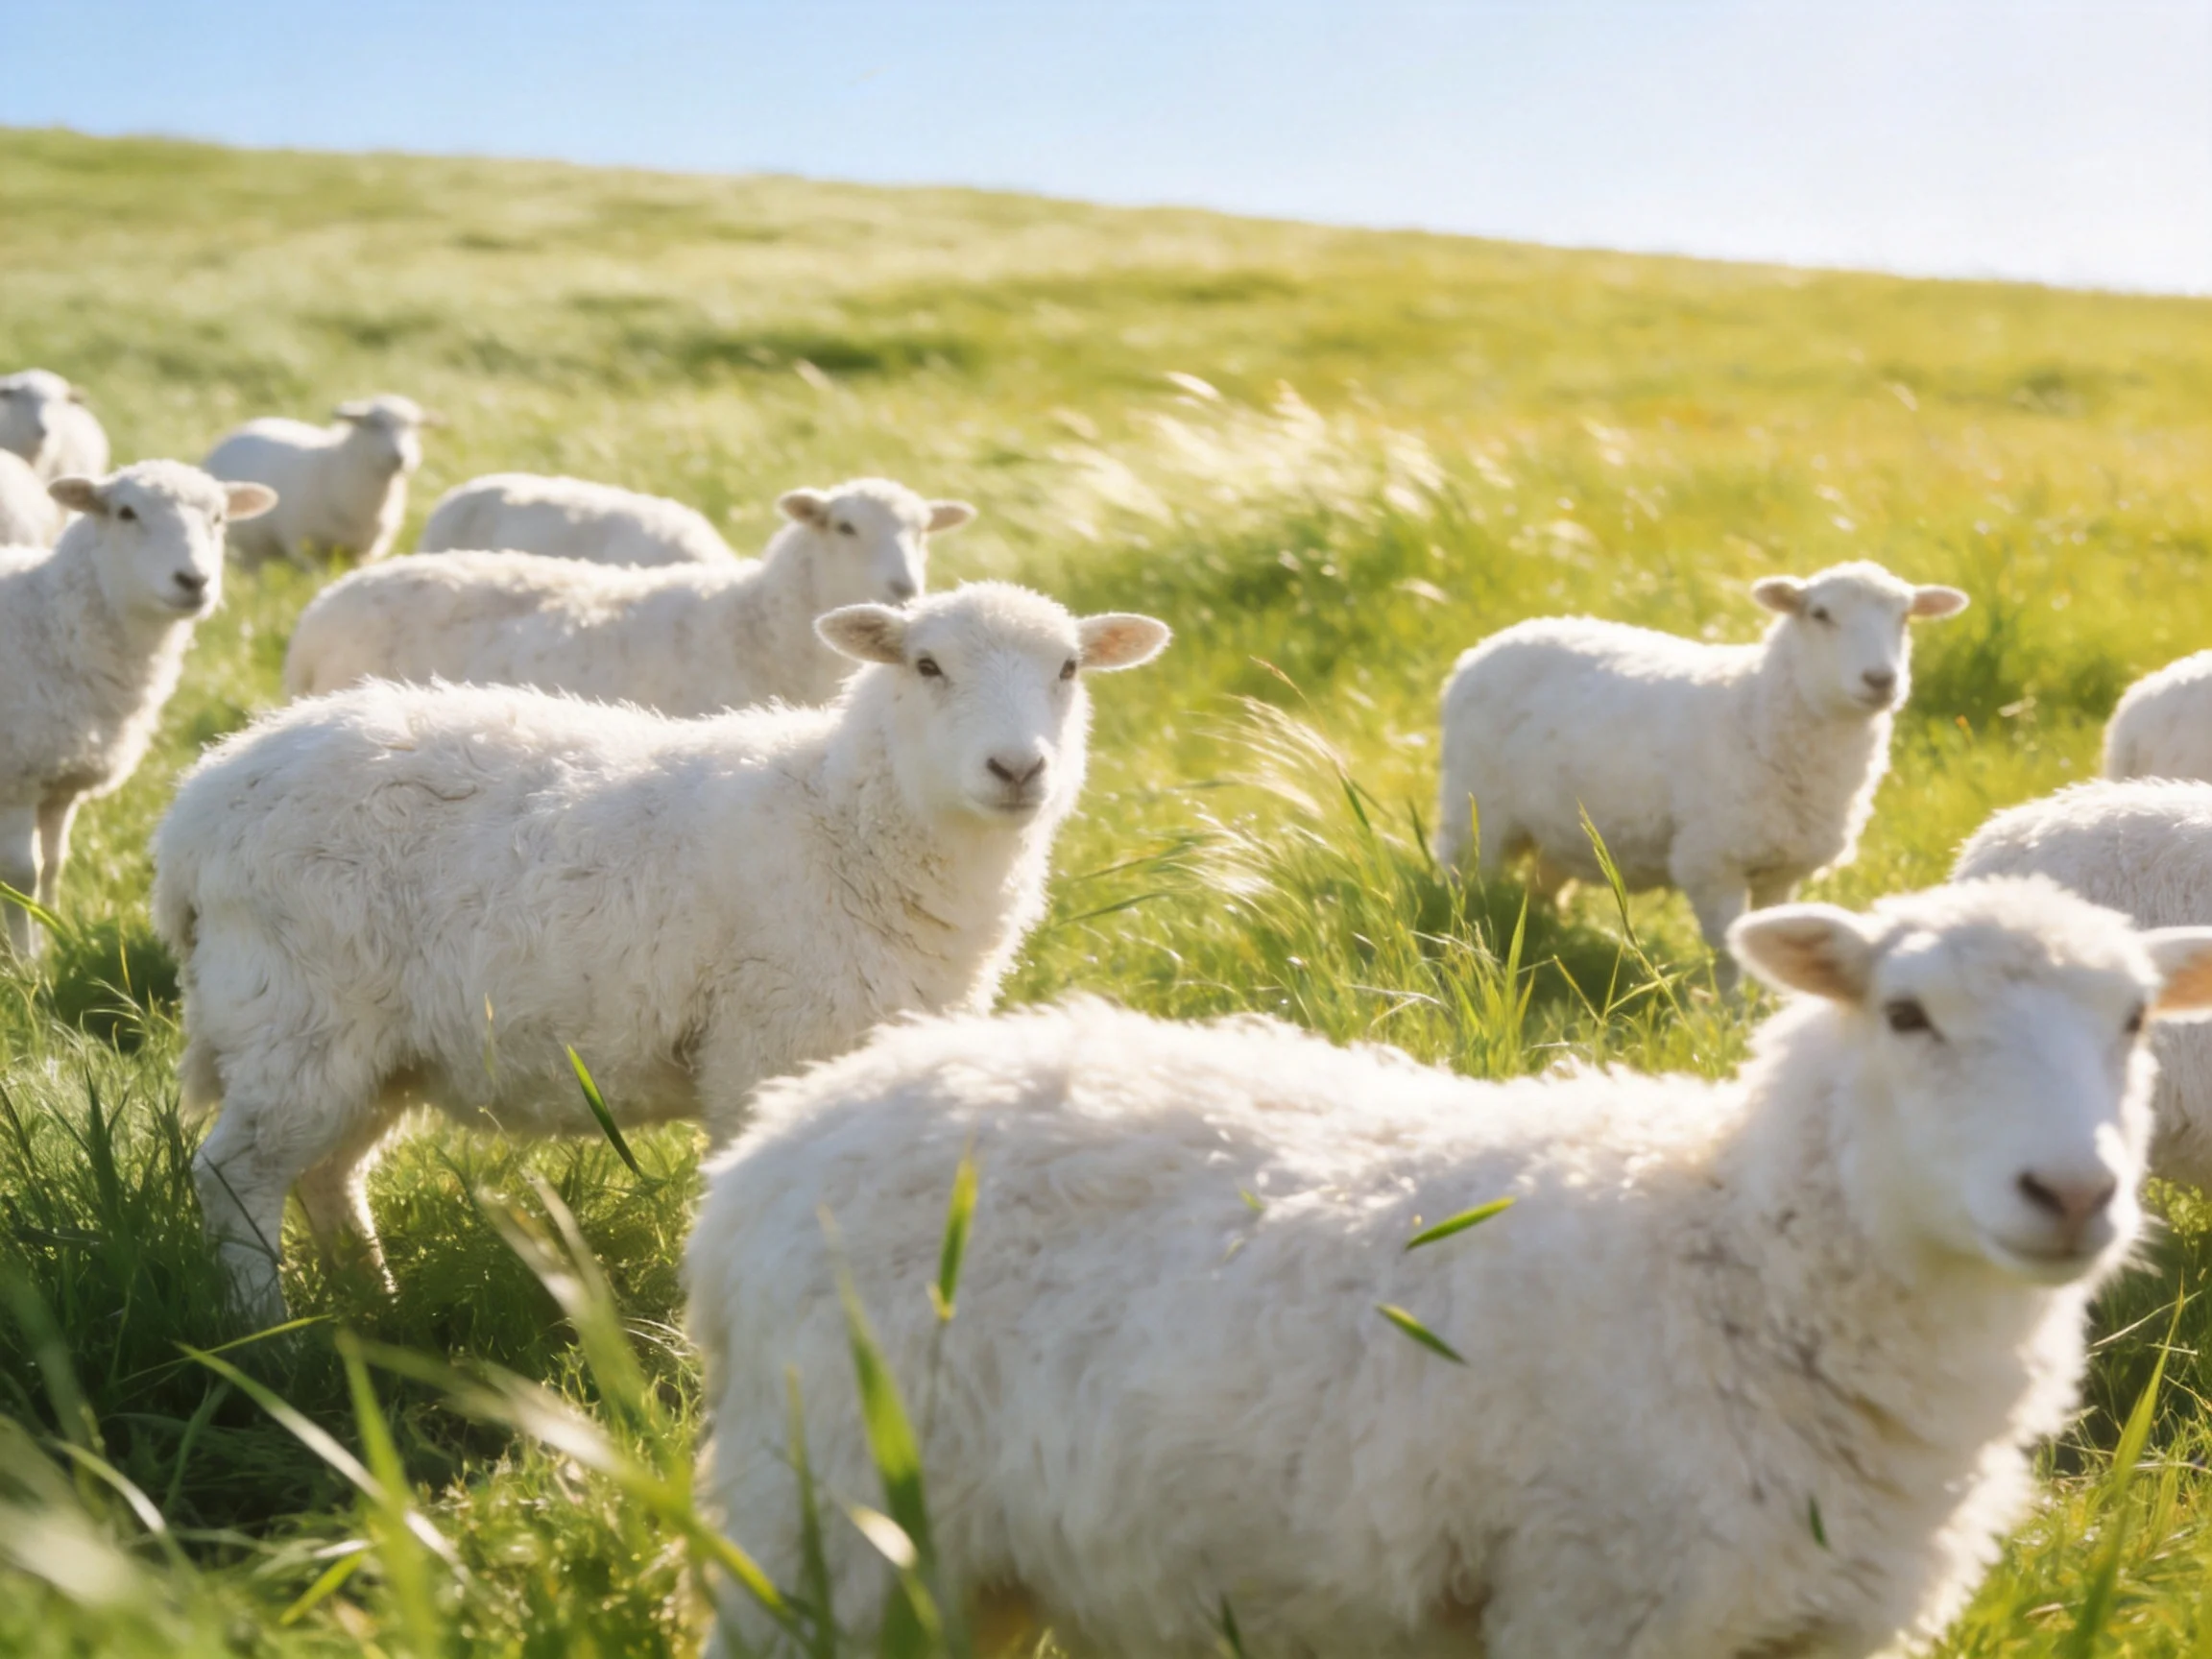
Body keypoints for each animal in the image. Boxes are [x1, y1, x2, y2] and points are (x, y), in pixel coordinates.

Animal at [0, 462, 275, 958]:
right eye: (125, 512)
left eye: (219, 518)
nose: (193, 581)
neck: (52, 624)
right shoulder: (18, 777)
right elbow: (21, 876)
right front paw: (24, 961)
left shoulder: (60, 784)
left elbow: (53, 865)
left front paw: (51, 941)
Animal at [155, 582, 1168, 1320]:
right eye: (926, 665)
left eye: (1069, 668)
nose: (1018, 769)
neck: (845, 819)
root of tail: (198, 805)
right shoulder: (765, 1047)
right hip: (297, 1012)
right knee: (238, 1175)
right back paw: (266, 1331)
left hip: (371, 1046)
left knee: (326, 1174)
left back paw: (375, 1303)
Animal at [202, 394, 436, 566]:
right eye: (374, 424)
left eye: (415, 428)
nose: (401, 458)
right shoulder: (304, 546)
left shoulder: (364, 552)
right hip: (247, 547)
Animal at [688, 878, 2212, 1659]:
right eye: (1905, 1014)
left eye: (2140, 1019)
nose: (2072, 1193)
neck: (1730, 1257)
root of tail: (786, 1130)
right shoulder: (1598, 1603)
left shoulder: (1838, 1632)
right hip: (818, 1524)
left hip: (964, 1561)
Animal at [1436, 561, 1968, 978]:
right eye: (1820, 614)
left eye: (1905, 617)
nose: (1881, 680)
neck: (1756, 705)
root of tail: (1495, 641)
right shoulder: (1712, 861)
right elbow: (1732, 955)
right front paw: (1730, 1019)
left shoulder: (1782, 869)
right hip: (1474, 811)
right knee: (1461, 884)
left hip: (1559, 830)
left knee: (1543, 887)